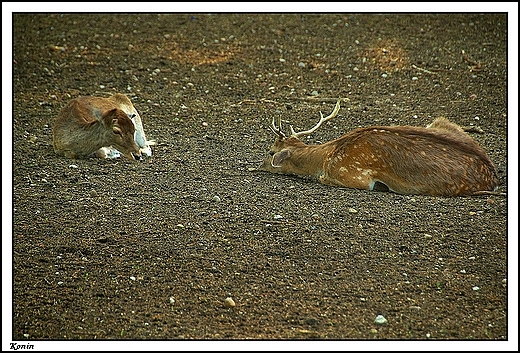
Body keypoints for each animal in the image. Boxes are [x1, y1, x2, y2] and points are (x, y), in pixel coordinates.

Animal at [260, 99, 500, 197]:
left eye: (270, 151)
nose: (258, 166)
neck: (327, 157)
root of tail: (493, 177)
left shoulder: (355, 175)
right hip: (441, 122)